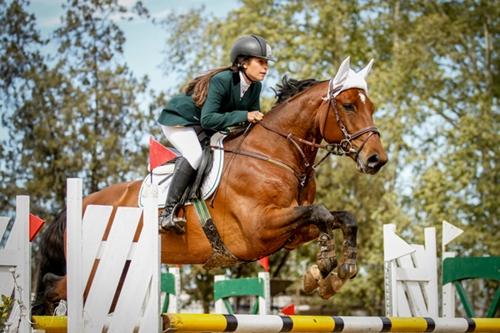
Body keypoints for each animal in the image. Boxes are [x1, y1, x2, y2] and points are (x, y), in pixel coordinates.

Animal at [34, 57, 386, 314]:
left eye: (371, 107)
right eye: (349, 106)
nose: (376, 160)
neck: (275, 154)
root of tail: (75, 207)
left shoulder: (289, 233)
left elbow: (343, 218)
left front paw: (336, 274)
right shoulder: (260, 229)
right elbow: (322, 213)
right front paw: (324, 267)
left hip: (120, 271)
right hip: (96, 270)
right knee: (52, 285)